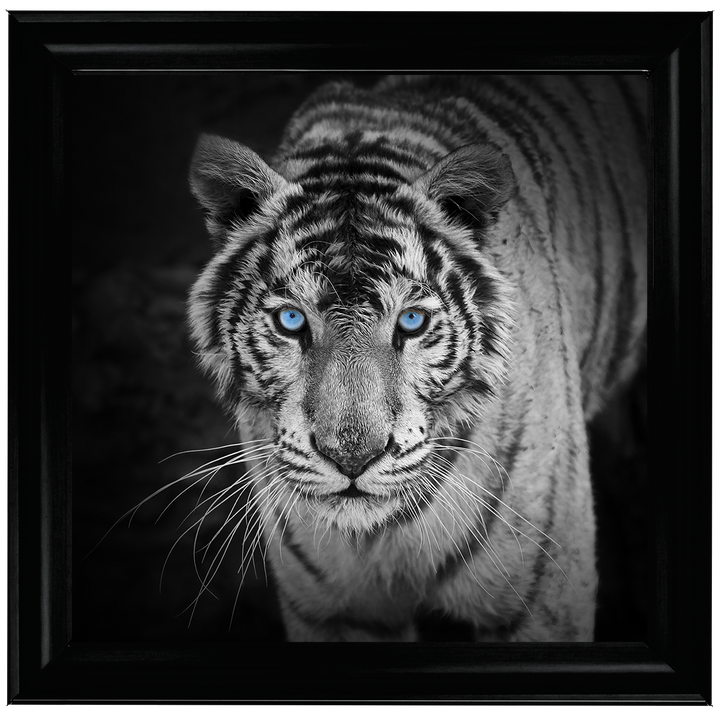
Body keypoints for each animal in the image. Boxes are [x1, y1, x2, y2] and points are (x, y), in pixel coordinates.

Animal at [186, 74, 647, 642]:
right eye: (292, 320)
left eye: (411, 322)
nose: (352, 459)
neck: (378, 536)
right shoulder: (333, 611)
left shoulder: (542, 602)